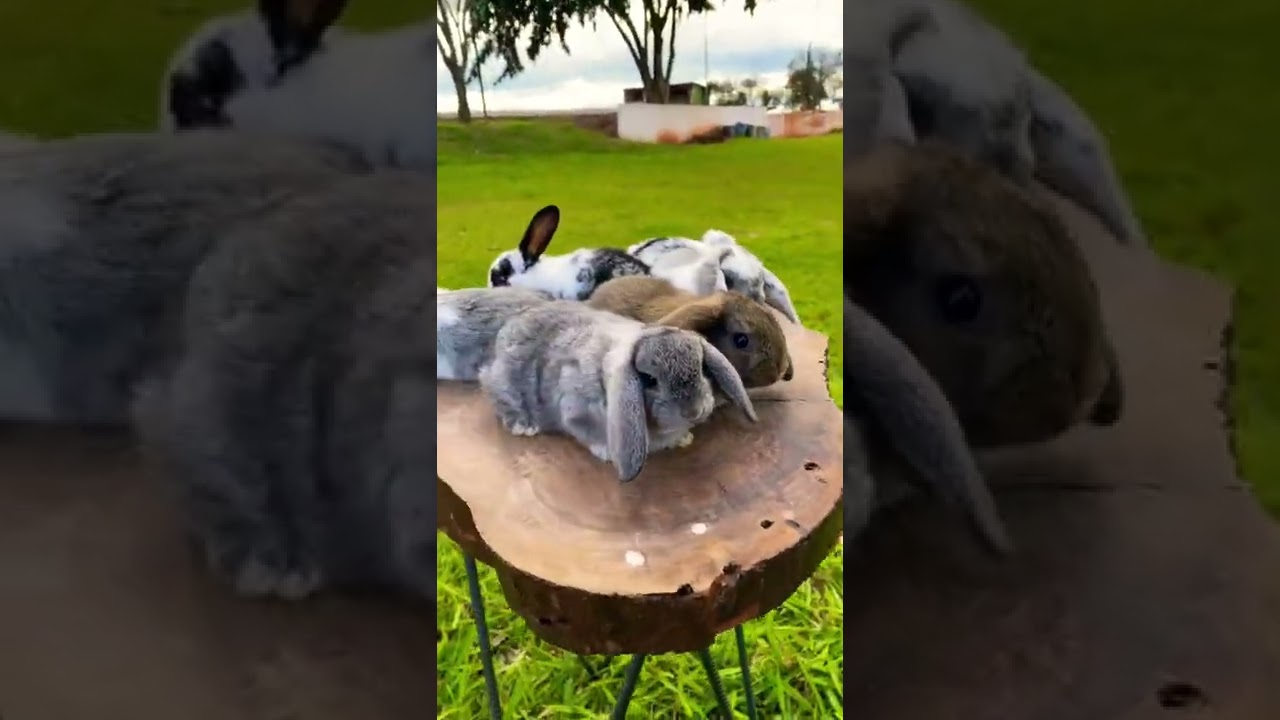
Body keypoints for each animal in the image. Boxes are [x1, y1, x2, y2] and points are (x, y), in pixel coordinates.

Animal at [478, 301, 758, 482]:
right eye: (649, 379)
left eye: (700, 366)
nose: (694, 411)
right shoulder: (575, 411)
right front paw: (606, 453)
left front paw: (683, 439)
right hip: (506, 384)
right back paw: (524, 425)